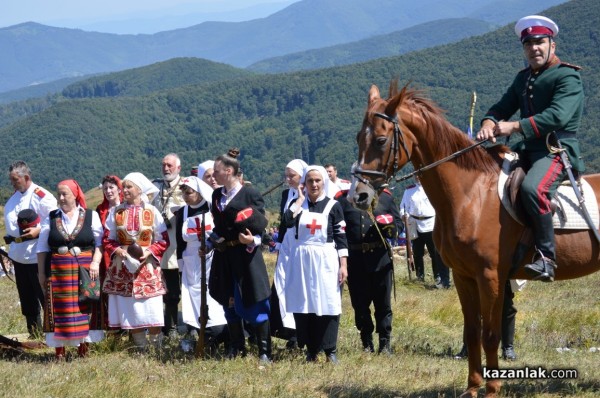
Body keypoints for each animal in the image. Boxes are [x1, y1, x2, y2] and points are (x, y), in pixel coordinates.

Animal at [350, 81, 600, 398]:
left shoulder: (490, 276)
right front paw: (472, 388)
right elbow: (472, 333)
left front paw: (492, 389)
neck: (471, 193)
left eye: (381, 140)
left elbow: (490, 334)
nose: (358, 195)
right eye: (360, 137)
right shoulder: (463, 276)